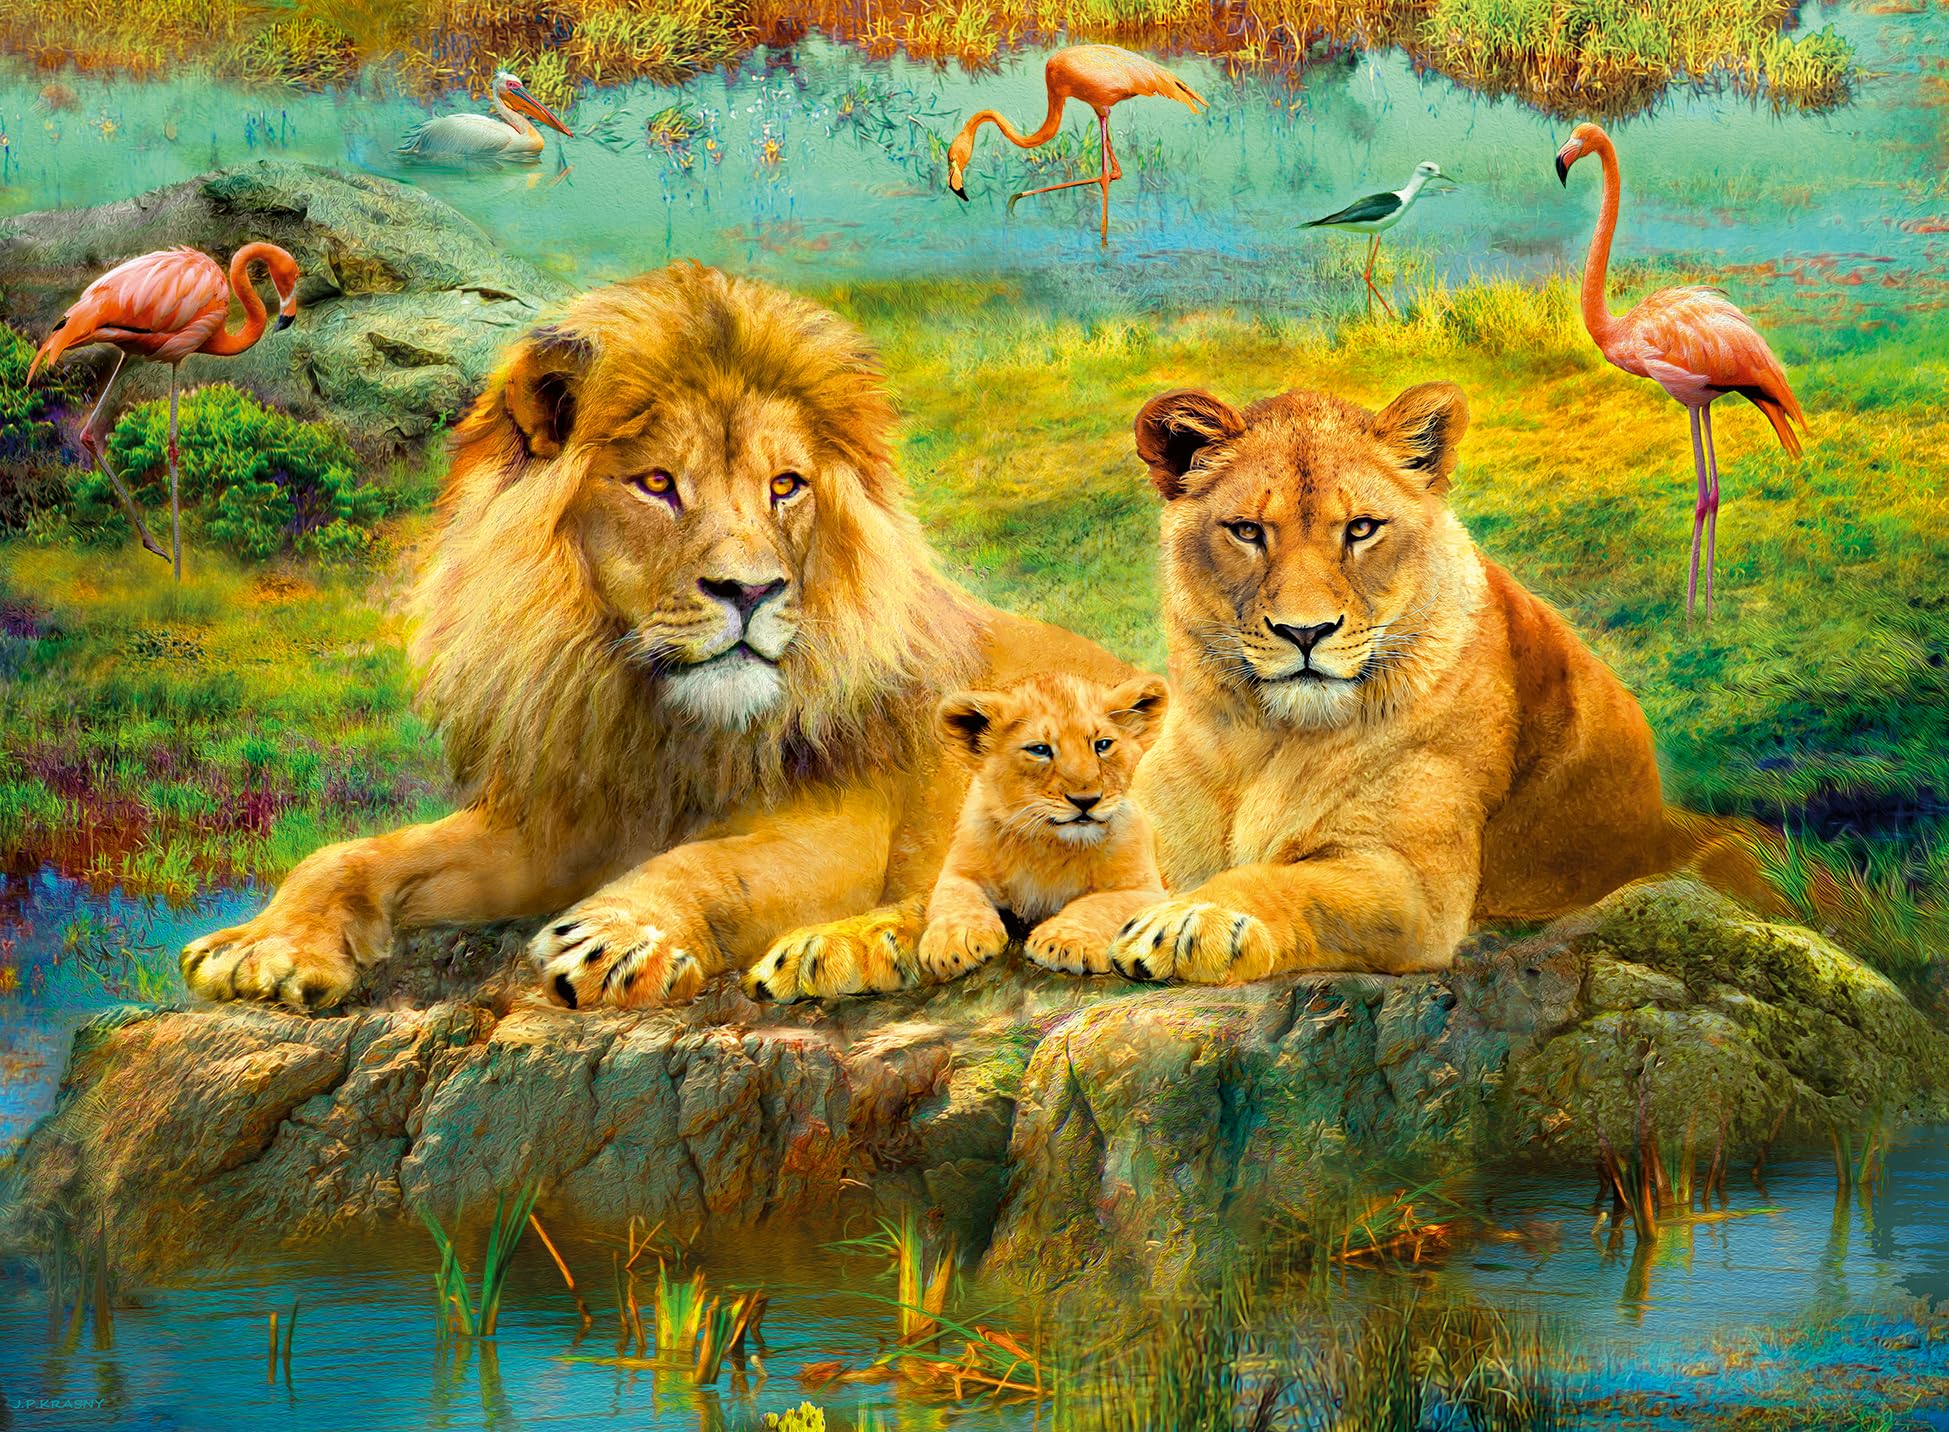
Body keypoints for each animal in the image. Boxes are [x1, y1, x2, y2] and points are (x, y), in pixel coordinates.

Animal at [179, 264, 1129, 1011]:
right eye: (658, 484)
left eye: (786, 485)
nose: (750, 590)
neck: (658, 720)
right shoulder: (559, 826)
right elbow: (351, 854)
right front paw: (264, 944)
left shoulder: (842, 829)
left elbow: (709, 866)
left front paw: (621, 935)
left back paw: (843, 948)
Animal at [916, 672, 1169, 984]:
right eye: (1040, 750)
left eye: (1102, 745)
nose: (1086, 800)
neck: (1048, 846)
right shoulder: (959, 871)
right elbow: (957, 897)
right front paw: (954, 941)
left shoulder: (1148, 890)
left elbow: (1099, 905)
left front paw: (1064, 942)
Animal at [1106, 380, 1765, 984]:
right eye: (1246, 531)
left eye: (1362, 529)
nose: (1305, 632)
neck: (1264, 740)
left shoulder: (1412, 887)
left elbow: (1283, 881)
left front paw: (1194, 920)